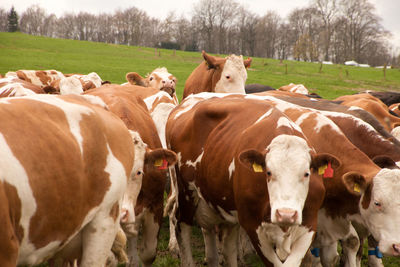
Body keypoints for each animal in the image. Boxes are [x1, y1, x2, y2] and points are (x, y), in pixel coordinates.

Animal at [165, 92, 334, 267]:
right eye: (268, 172)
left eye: (306, 173)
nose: (286, 214)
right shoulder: (252, 225)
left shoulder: (310, 224)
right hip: (185, 194)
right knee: (181, 225)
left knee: (224, 246)